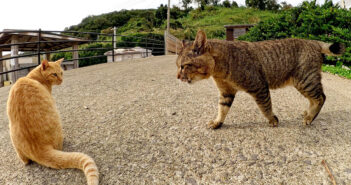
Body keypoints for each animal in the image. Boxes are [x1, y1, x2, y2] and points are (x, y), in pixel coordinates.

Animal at [177, 30, 346, 129]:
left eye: (184, 66)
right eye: (178, 66)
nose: (178, 77)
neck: (220, 69)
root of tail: (312, 41)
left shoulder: (259, 86)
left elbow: (265, 107)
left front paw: (272, 119)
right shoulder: (226, 92)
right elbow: (222, 109)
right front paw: (217, 122)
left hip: (305, 80)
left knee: (321, 97)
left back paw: (310, 118)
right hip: (303, 82)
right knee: (315, 98)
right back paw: (308, 114)